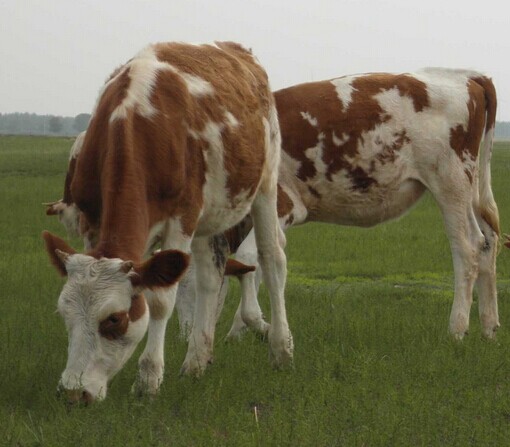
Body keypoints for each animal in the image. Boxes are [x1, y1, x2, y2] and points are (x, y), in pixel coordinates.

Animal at [41, 43, 290, 406]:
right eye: (63, 314)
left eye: (114, 319)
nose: (74, 393)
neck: (136, 123)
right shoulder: (92, 223)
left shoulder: (180, 220)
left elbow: (160, 301)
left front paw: (148, 379)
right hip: (209, 215)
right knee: (210, 275)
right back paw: (197, 360)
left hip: (265, 183)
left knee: (272, 260)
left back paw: (281, 349)